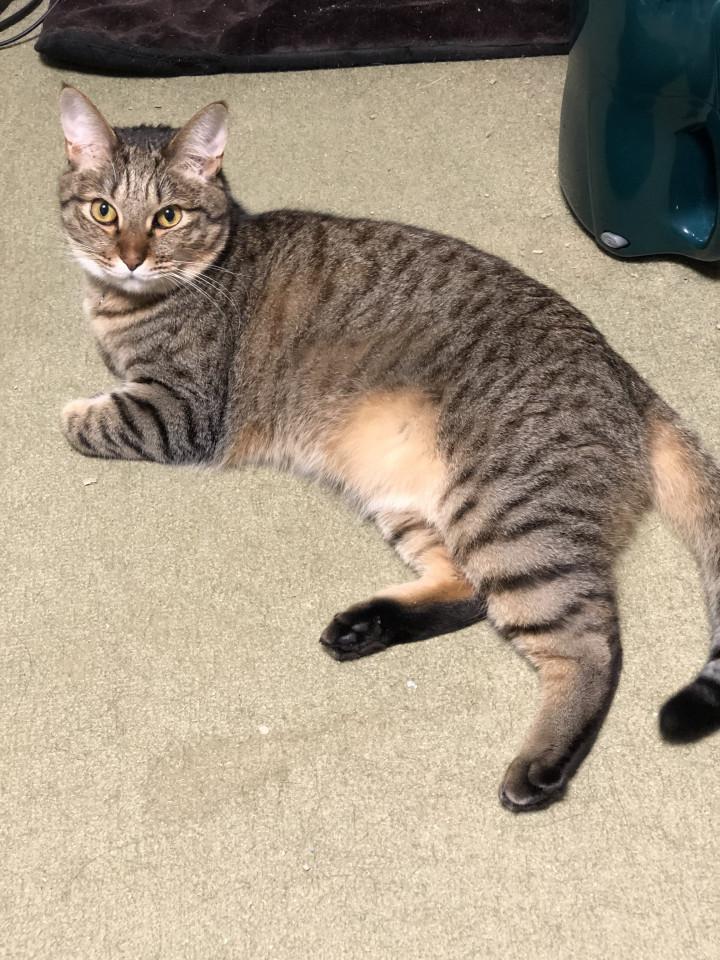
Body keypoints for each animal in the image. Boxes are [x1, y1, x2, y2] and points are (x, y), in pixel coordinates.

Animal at [57, 85, 720, 812]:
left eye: (168, 216)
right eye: (103, 211)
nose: (130, 257)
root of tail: (626, 374)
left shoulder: (182, 410)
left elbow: (90, 420)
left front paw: (72, 411)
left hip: (511, 514)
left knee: (591, 645)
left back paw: (541, 766)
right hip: (414, 499)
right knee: (470, 591)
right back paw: (365, 626)